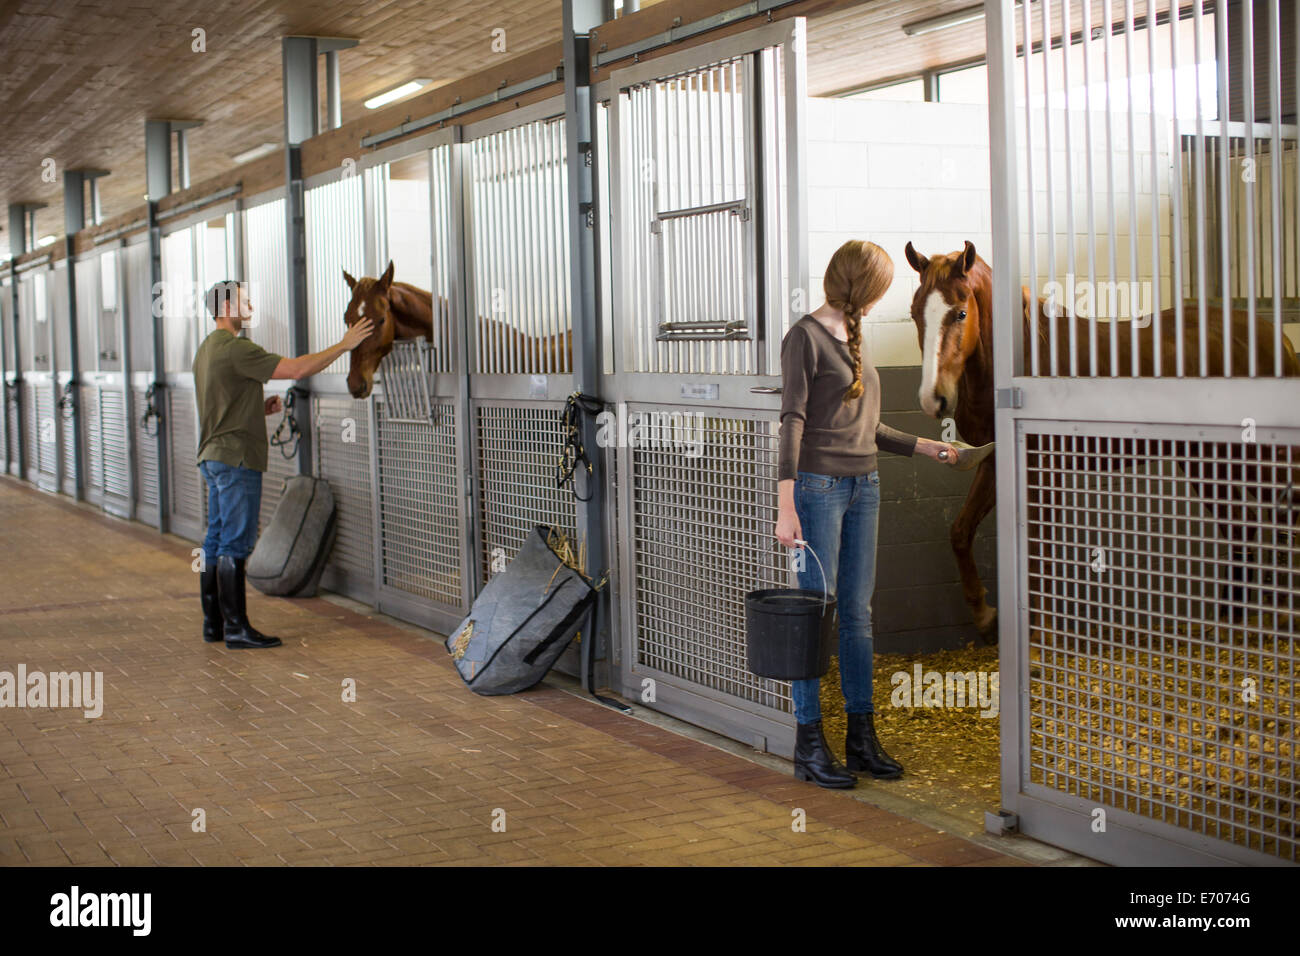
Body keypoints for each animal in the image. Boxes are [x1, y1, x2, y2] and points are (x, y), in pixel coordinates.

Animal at [904, 239, 1300, 642]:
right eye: (915, 313)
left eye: (960, 313)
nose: (934, 399)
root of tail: (1276, 338)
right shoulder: (995, 462)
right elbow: (961, 532)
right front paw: (986, 615)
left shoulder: (1042, 470)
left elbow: (1038, 548)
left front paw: (1042, 635)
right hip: (1208, 459)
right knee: (1242, 525)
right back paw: (1230, 622)